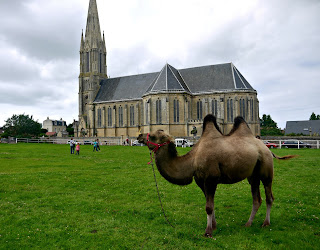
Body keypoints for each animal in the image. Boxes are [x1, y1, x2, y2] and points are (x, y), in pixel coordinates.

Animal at [138, 114, 296, 237]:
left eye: (153, 136)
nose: (139, 135)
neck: (192, 160)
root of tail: (267, 148)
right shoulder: (201, 182)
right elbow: (210, 205)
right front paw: (213, 226)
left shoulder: (211, 179)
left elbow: (208, 207)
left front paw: (208, 232)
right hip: (253, 176)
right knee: (257, 199)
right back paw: (248, 224)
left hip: (266, 171)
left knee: (269, 197)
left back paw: (265, 223)